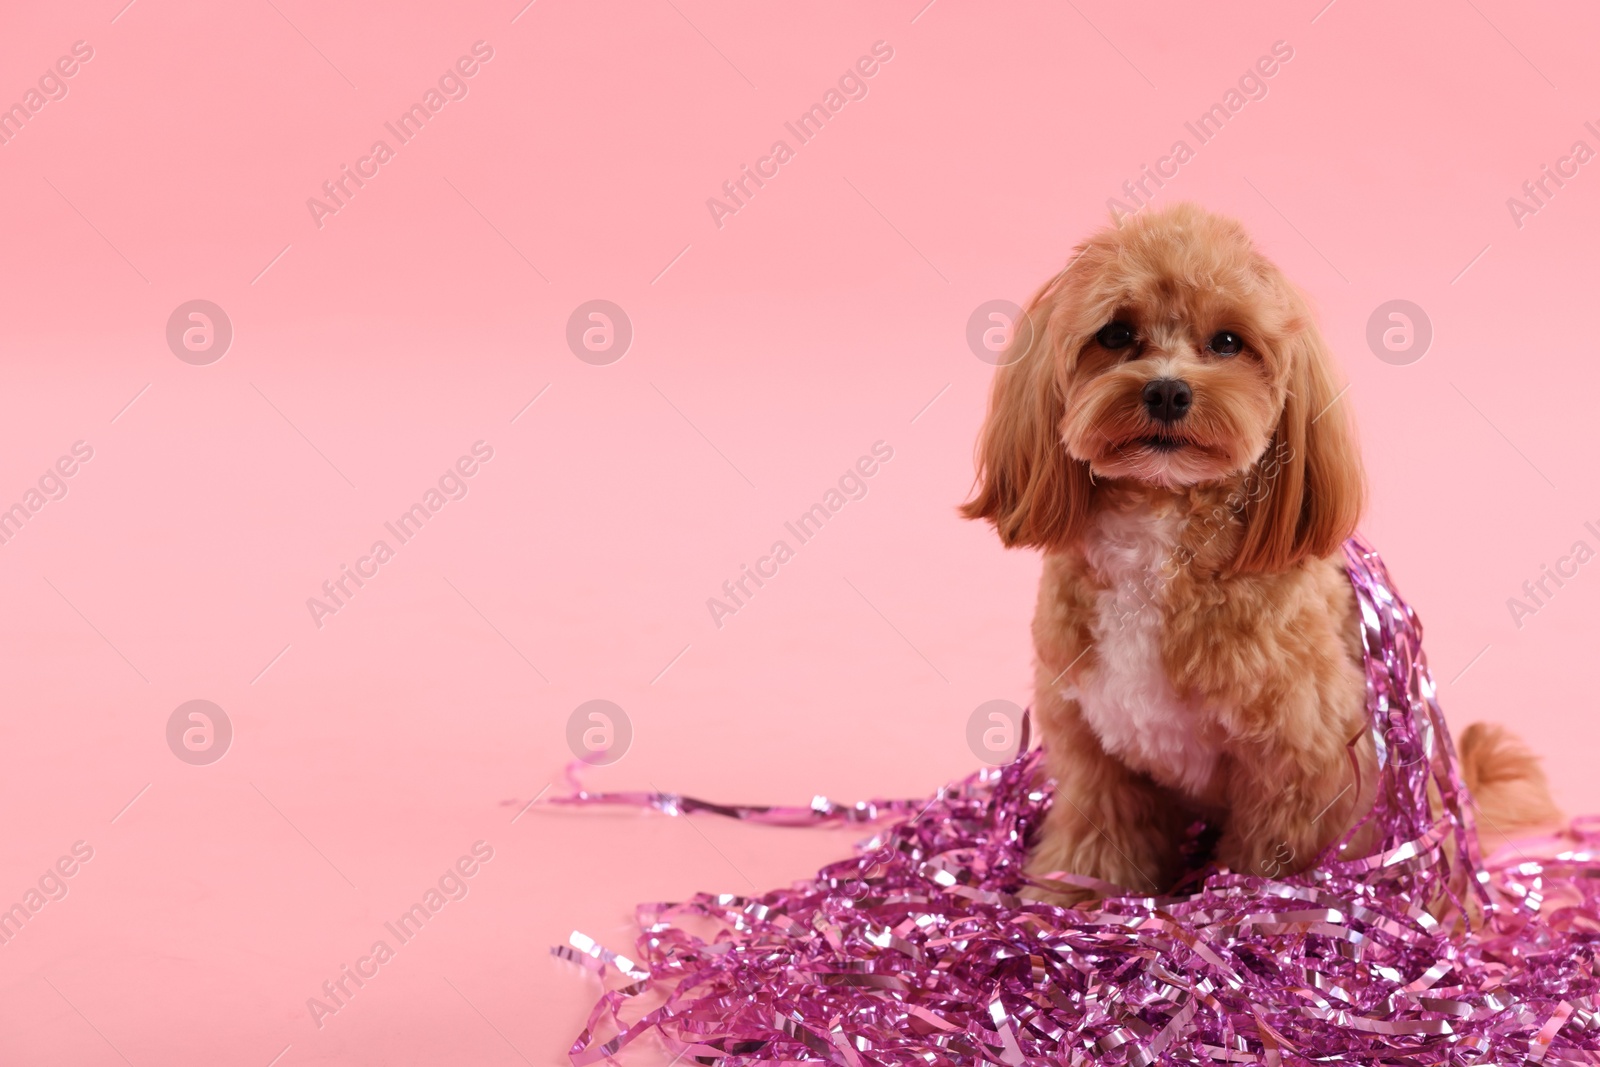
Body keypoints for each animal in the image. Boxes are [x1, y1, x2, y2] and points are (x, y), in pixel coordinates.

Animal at [953, 202, 1555, 902]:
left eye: (1227, 343)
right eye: (1116, 333)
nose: (1167, 392)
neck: (1160, 533)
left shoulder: (1303, 758)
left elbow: (1274, 857)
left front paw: (1261, 913)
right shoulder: (1093, 747)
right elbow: (1097, 833)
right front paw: (1073, 895)